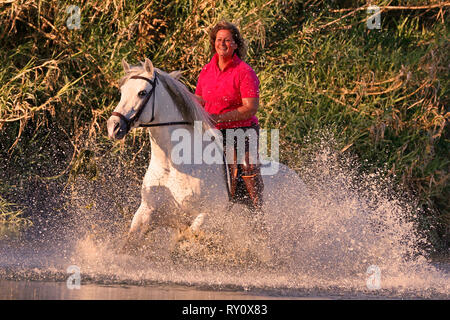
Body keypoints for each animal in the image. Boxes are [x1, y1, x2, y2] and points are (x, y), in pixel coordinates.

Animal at [107, 58, 308, 251]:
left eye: (142, 93)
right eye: (122, 91)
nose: (113, 126)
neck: (173, 166)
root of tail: (299, 181)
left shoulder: (209, 216)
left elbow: (188, 236)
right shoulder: (147, 211)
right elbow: (130, 243)